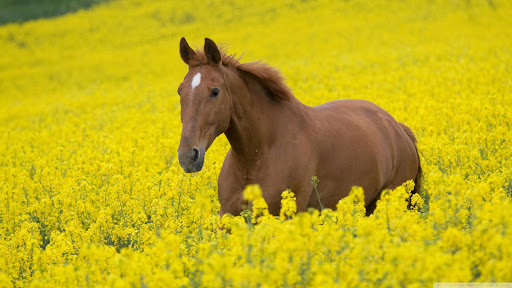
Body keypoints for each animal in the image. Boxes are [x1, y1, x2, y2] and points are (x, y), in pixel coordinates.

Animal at [176, 38, 420, 217]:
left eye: (214, 91)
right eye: (180, 90)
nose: (188, 156)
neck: (257, 157)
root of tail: (398, 128)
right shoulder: (227, 217)